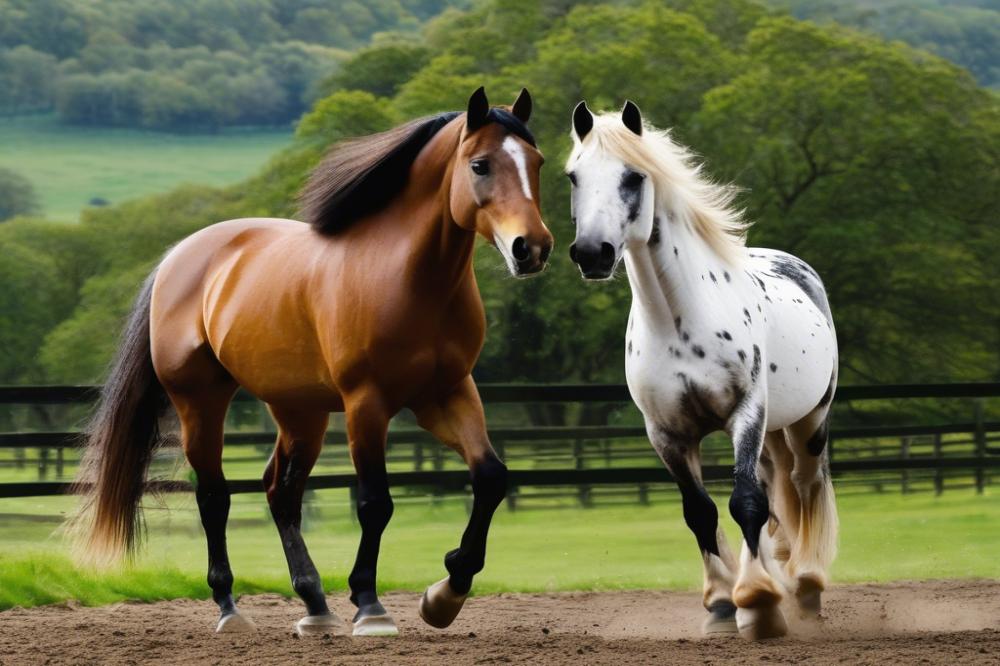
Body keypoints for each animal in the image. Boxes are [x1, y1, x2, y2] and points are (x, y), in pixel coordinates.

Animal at [74, 85, 552, 636]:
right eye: (480, 165)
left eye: (537, 162)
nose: (532, 248)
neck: (407, 277)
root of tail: (178, 257)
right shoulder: (367, 404)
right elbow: (375, 503)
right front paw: (370, 605)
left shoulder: (448, 394)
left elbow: (491, 477)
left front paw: (445, 593)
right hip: (201, 404)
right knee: (214, 497)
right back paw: (231, 608)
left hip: (300, 413)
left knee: (280, 494)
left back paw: (315, 604)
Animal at [568, 100, 840, 640]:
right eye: (573, 176)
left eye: (634, 176)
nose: (592, 253)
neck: (680, 322)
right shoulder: (667, 433)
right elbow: (700, 511)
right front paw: (720, 604)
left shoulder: (745, 414)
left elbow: (745, 502)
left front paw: (758, 602)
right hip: (773, 432)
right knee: (779, 488)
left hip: (810, 418)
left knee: (805, 483)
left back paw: (806, 584)